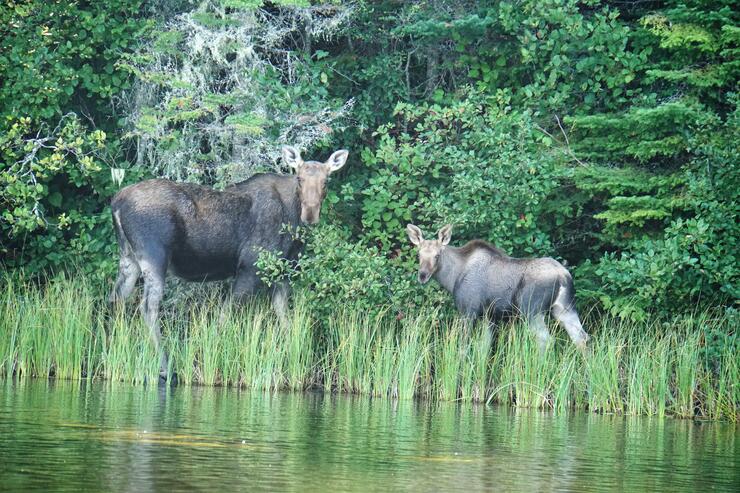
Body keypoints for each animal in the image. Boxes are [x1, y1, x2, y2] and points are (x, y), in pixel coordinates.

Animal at [108, 144, 348, 374]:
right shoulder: (250, 269)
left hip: (128, 258)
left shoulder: (283, 274)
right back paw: (166, 366)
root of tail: (116, 203)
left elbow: (284, 319)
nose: (310, 214)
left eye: (326, 181)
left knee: (116, 299)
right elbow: (225, 316)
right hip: (154, 256)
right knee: (148, 307)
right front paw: (202, 359)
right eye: (299, 178)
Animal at [404, 223, 588, 350]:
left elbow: (464, 347)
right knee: (581, 337)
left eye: (437, 255)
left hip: (531, 309)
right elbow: (484, 348)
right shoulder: (490, 316)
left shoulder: (468, 310)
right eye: (419, 254)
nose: (422, 275)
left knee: (545, 339)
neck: (452, 277)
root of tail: (563, 275)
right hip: (564, 307)